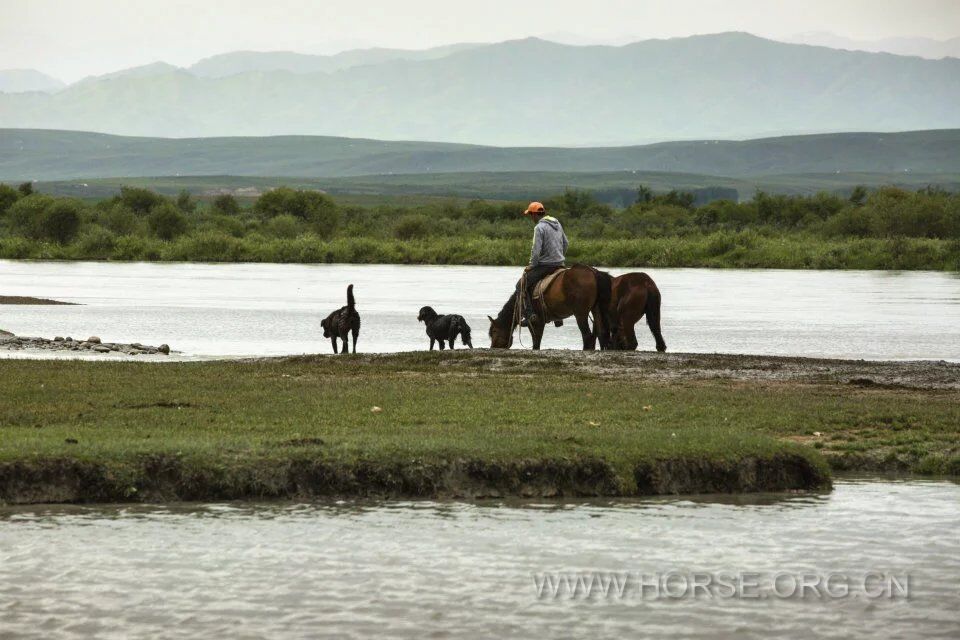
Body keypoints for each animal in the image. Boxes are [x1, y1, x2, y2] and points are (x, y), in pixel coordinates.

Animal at [488, 264, 616, 350]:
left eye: (494, 331)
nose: (493, 347)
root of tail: (594, 272)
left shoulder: (536, 322)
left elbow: (536, 343)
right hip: (596, 310)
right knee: (601, 334)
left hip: (581, 314)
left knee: (587, 336)